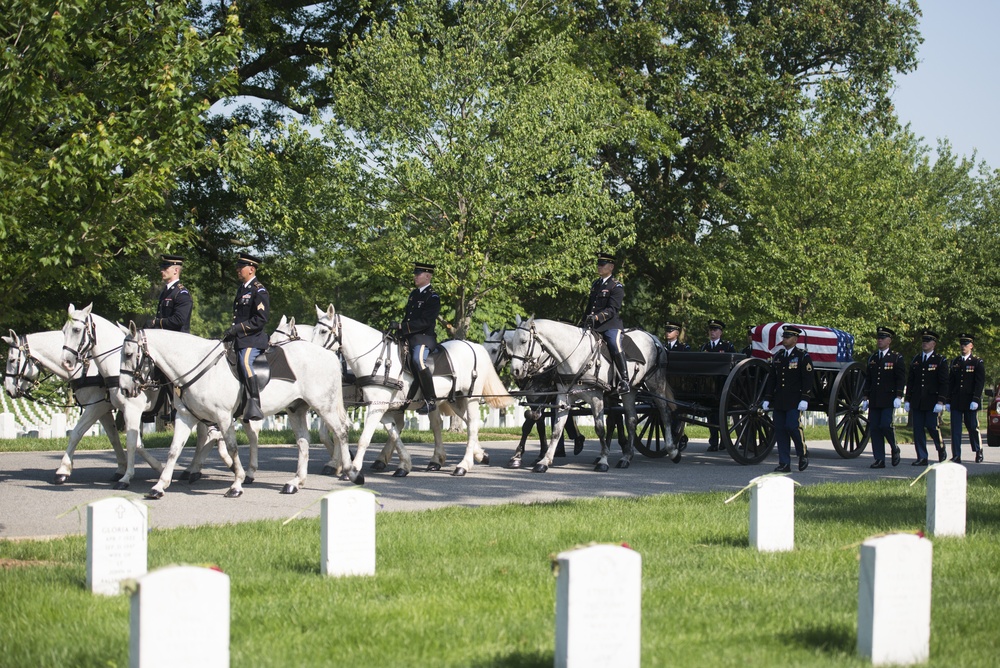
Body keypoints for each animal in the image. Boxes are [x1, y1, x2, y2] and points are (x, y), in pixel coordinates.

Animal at [118, 326, 352, 498]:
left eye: (128, 354)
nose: (125, 389)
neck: (198, 367)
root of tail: (328, 355)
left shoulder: (223, 417)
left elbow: (231, 448)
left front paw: (237, 483)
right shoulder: (186, 416)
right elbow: (174, 450)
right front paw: (159, 486)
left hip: (324, 406)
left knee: (340, 432)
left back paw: (349, 472)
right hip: (296, 408)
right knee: (303, 441)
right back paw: (295, 482)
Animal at [312, 302, 516, 480]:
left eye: (323, 331)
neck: (378, 360)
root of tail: (474, 346)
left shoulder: (375, 407)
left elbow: (363, 437)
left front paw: (350, 469)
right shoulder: (382, 408)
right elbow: (393, 433)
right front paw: (404, 465)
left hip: (470, 398)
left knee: (472, 425)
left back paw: (463, 465)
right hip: (454, 399)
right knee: (453, 424)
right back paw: (466, 456)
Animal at [508, 318, 680, 470]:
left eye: (523, 341)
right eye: (511, 343)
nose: (516, 371)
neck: (574, 356)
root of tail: (653, 337)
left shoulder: (596, 398)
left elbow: (599, 428)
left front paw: (603, 460)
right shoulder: (562, 397)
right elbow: (556, 429)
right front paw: (544, 461)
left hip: (655, 385)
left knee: (664, 413)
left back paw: (672, 450)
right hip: (630, 391)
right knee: (631, 420)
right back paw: (626, 457)